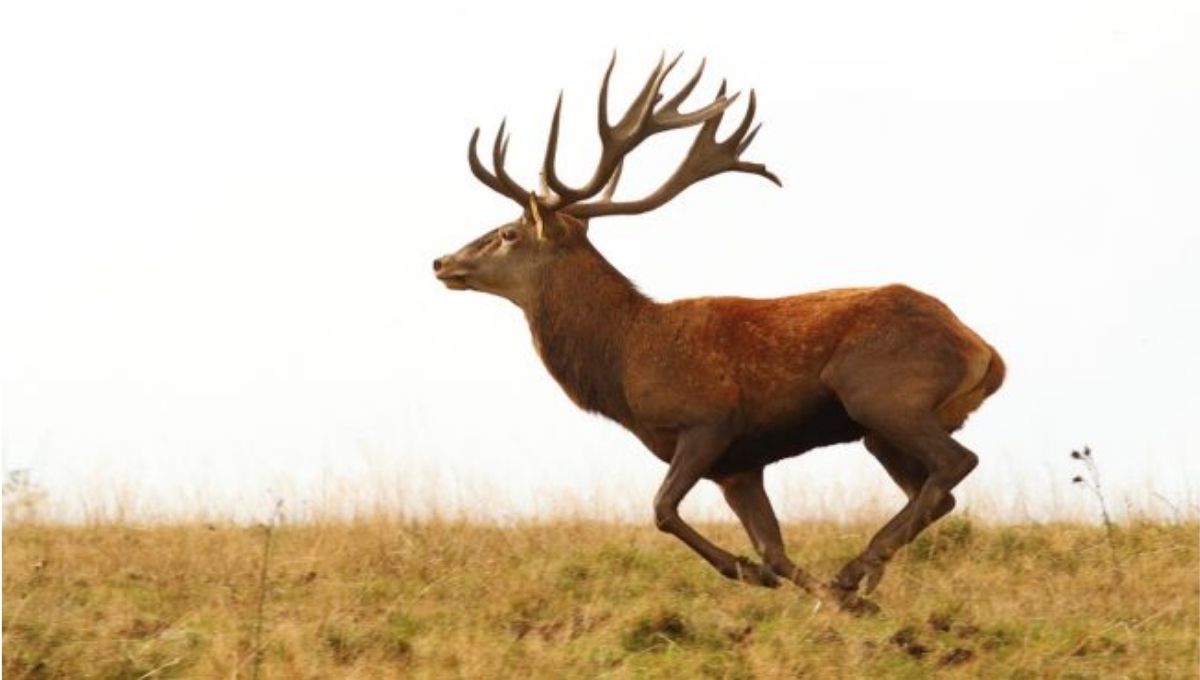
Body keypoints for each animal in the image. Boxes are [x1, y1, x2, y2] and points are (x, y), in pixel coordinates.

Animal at [432, 54, 1005, 614]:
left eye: (508, 232)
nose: (442, 261)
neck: (625, 362)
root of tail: (986, 353)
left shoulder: (709, 422)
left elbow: (662, 508)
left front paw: (758, 575)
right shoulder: (740, 466)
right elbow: (773, 547)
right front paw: (827, 598)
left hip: (882, 394)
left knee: (956, 463)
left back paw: (855, 568)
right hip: (879, 430)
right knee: (936, 491)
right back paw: (861, 579)